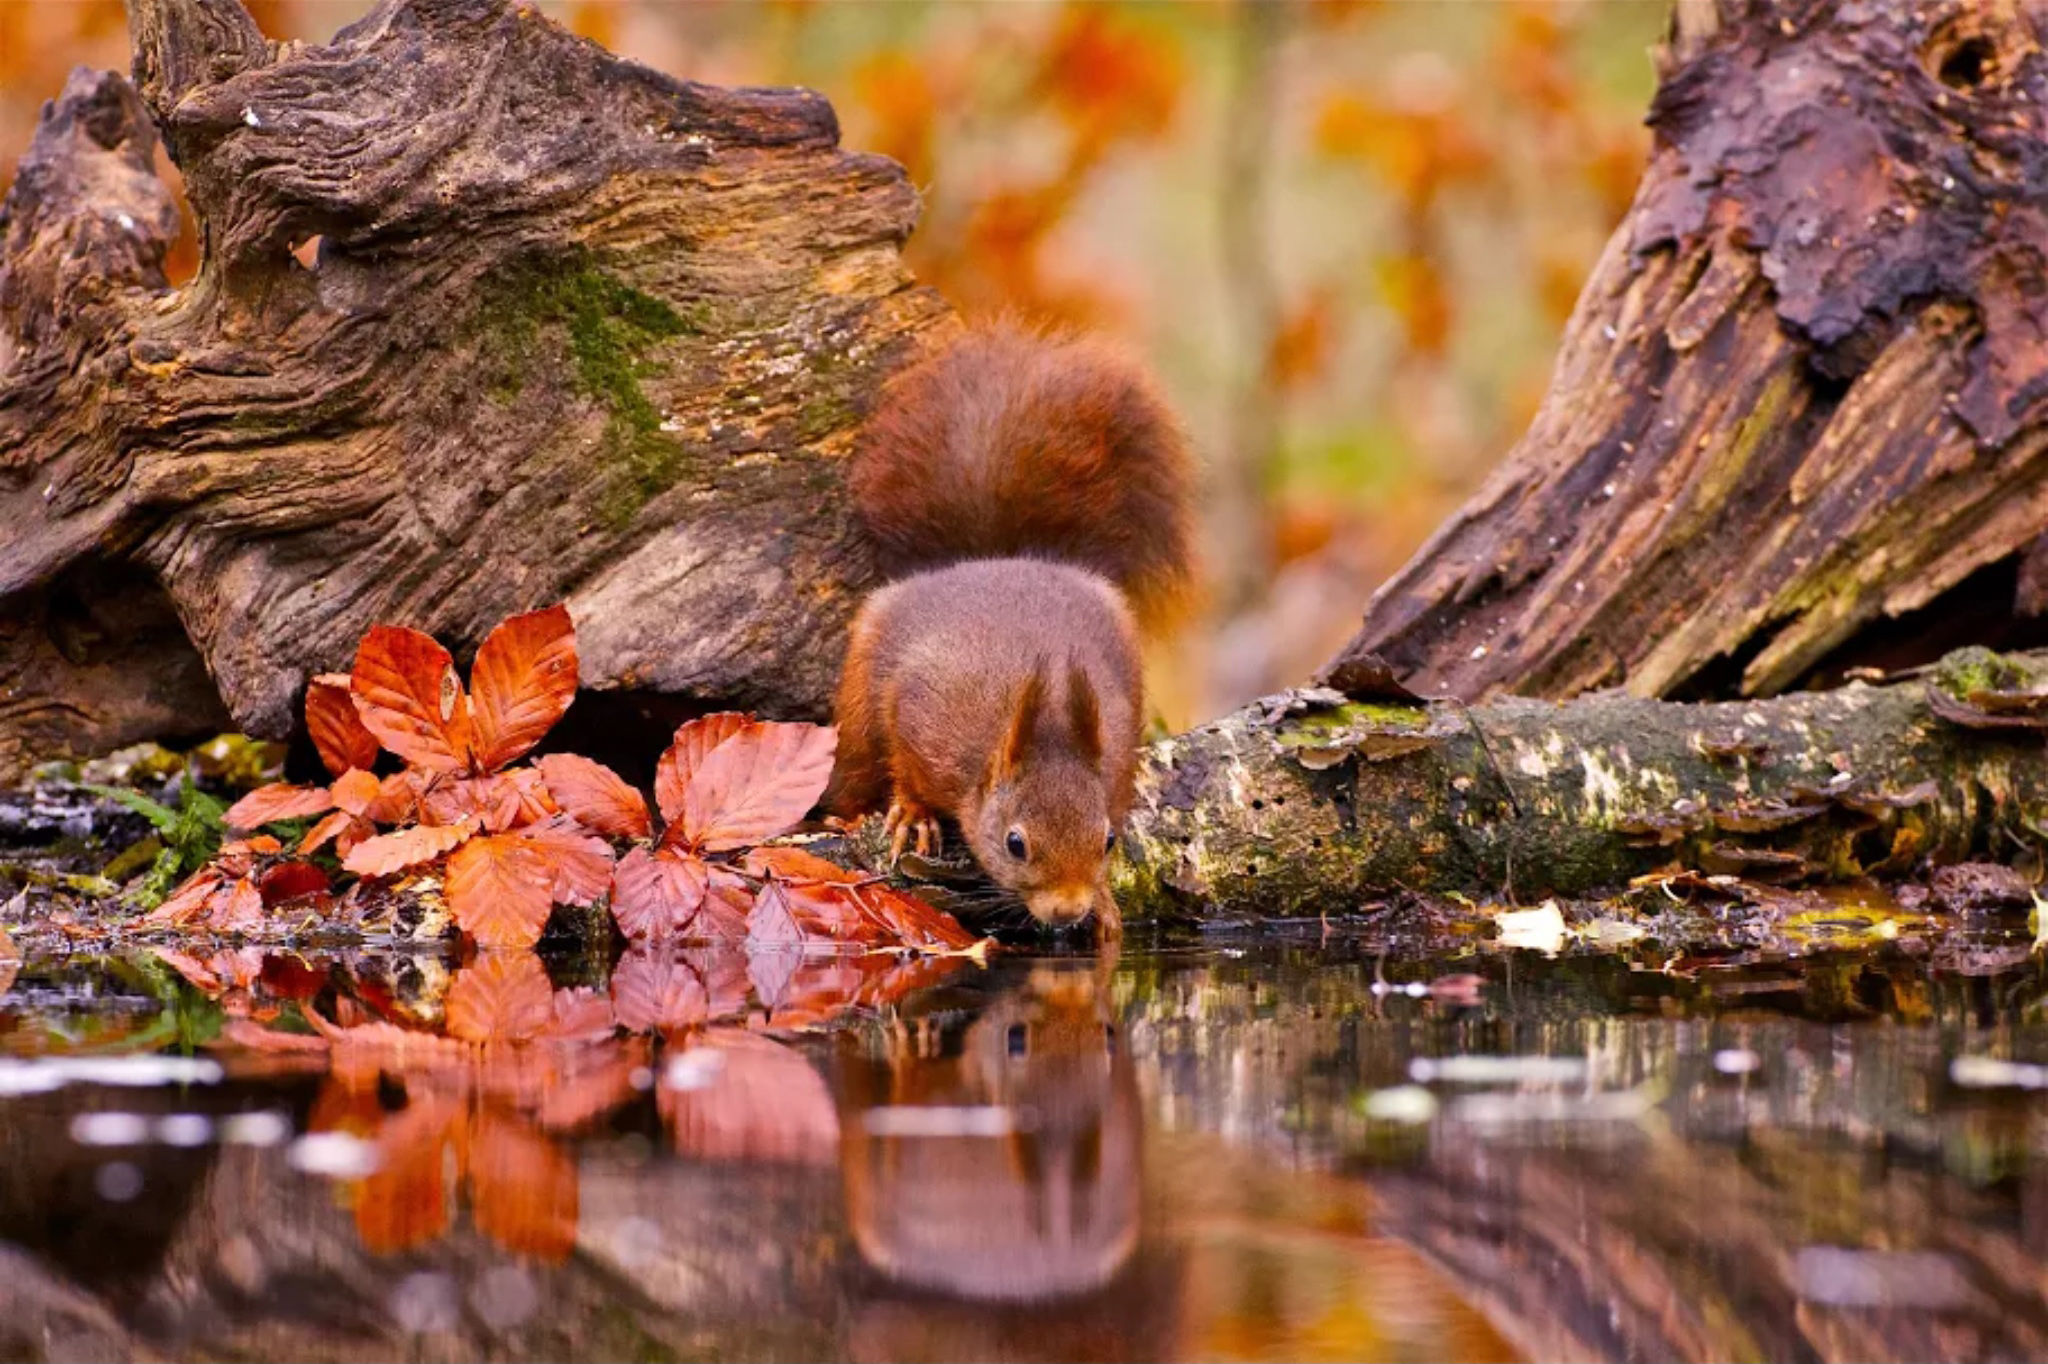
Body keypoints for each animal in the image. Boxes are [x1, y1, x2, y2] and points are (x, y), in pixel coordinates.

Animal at [823, 321, 1196, 933]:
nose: (1068, 910)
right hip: (857, 705)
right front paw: (914, 812)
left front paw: (1106, 901)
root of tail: (991, 557)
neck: (1044, 717)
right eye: (1015, 843)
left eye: (1108, 841)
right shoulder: (924, 714)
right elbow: (905, 761)